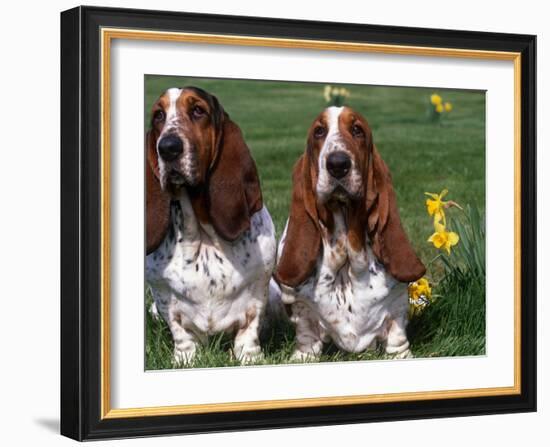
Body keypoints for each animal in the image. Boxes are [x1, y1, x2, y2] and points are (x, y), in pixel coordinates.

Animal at [146, 86, 276, 364]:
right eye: (158, 115)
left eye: (198, 110)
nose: (167, 147)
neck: (203, 237)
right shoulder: (161, 292)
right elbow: (180, 330)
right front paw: (185, 359)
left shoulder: (259, 286)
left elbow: (250, 326)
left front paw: (250, 357)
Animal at [276, 107, 426, 362]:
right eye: (319, 131)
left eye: (357, 130)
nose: (338, 164)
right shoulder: (301, 309)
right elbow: (306, 336)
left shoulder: (396, 308)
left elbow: (397, 339)